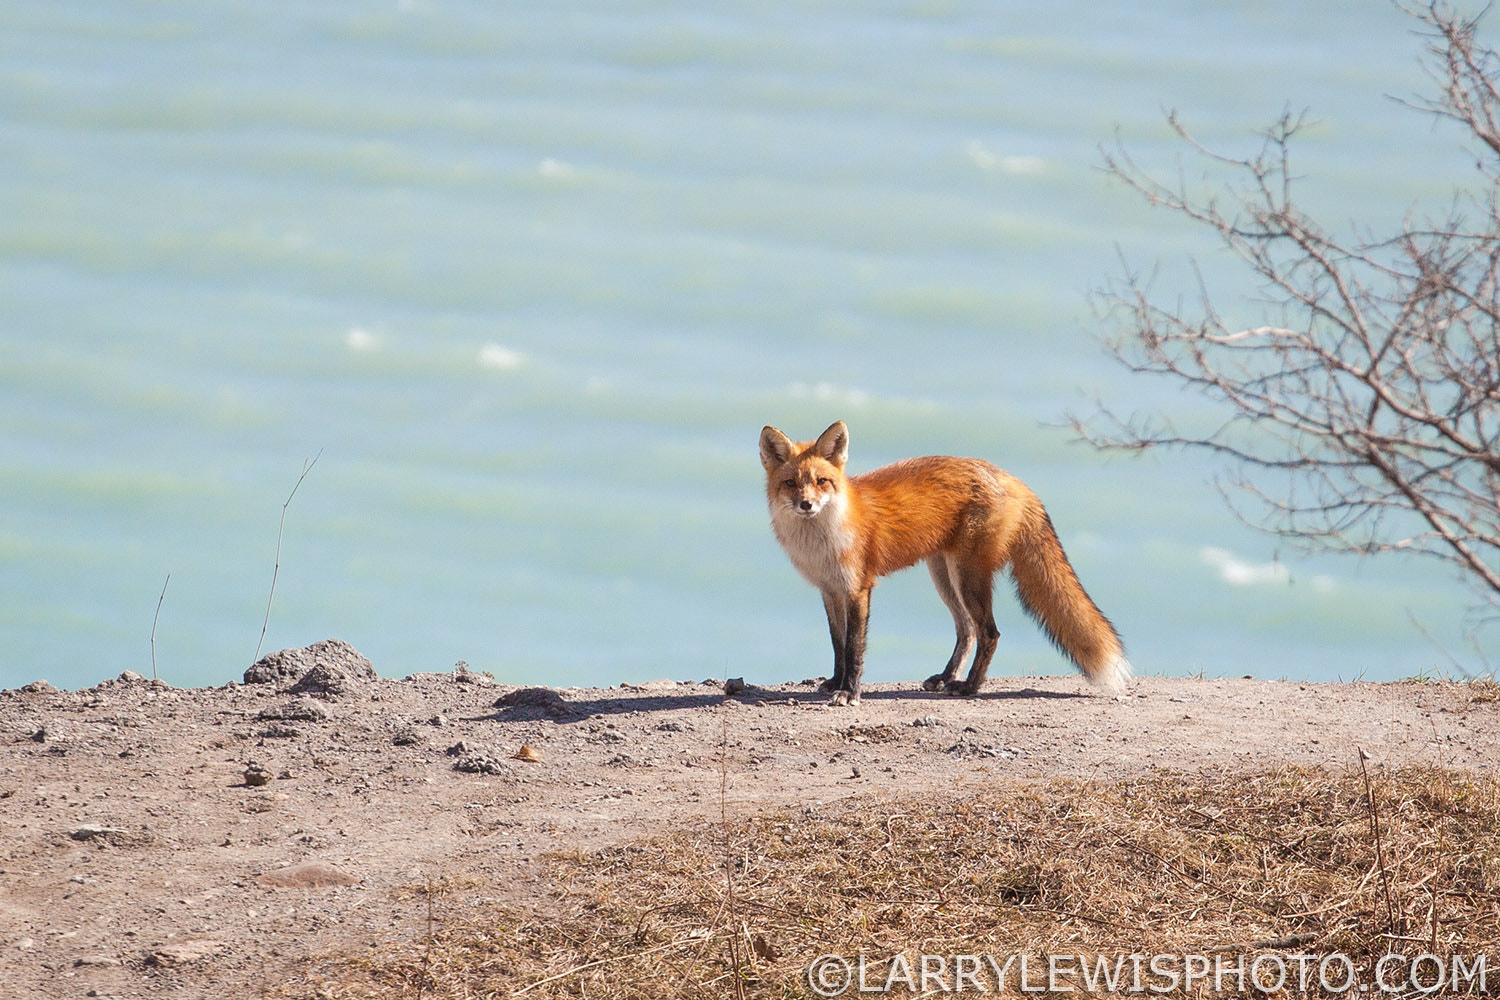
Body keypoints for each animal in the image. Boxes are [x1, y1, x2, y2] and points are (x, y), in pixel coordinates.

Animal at [759, 420, 1130, 706]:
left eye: (821, 481)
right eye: (790, 483)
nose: (806, 504)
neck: (823, 539)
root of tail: (1012, 479)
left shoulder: (858, 589)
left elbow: (854, 648)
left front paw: (849, 692)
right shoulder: (829, 590)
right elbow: (837, 643)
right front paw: (836, 682)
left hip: (967, 577)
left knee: (989, 633)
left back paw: (968, 687)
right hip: (943, 575)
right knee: (966, 631)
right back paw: (946, 676)